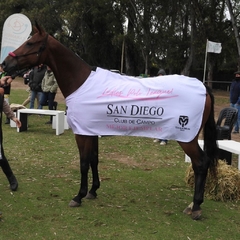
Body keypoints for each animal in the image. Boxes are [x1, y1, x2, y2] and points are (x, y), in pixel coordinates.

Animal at [1, 22, 218, 219]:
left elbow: (83, 163)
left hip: (186, 138)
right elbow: (94, 160)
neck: (80, 82)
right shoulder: (91, 131)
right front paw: (92, 191)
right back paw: (193, 205)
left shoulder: (82, 134)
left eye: (30, 43)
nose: (5, 64)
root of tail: (203, 87)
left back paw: (196, 206)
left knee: (201, 163)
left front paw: (78, 196)